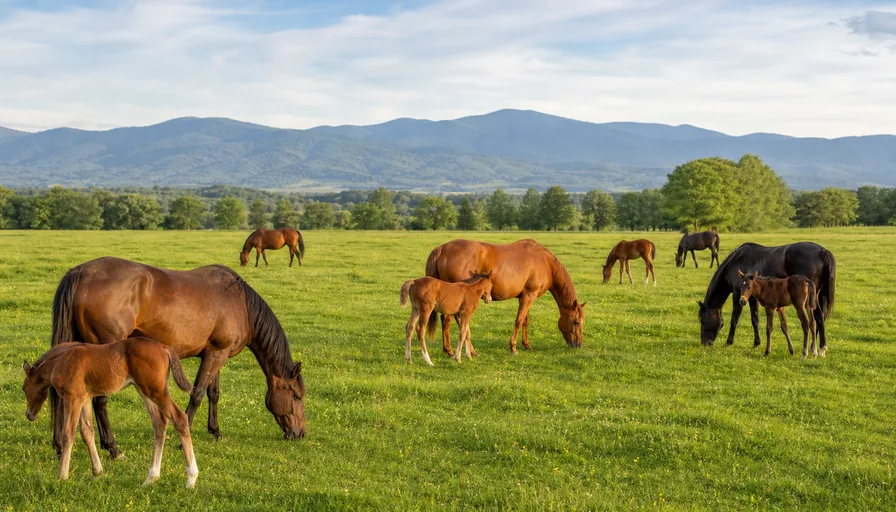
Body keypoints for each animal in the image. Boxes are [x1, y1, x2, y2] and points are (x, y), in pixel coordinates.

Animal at [23, 338, 198, 487]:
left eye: (24, 388)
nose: (29, 415)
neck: (61, 361)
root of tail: (164, 347)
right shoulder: (85, 399)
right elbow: (87, 432)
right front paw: (97, 473)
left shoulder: (73, 398)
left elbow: (68, 433)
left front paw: (62, 476)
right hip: (144, 390)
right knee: (159, 423)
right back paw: (150, 479)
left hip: (156, 391)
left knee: (179, 418)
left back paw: (191, 479)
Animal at [50, 256, 306, 461]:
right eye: (297, 396)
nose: (300, 433)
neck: (241, 303)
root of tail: (81, 272)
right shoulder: (216, 354)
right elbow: (198, 394)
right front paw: (184, 436)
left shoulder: (216, 353)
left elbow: (214, 394)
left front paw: (216, 431)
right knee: (100, 401)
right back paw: (113, 448)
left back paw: (60, 446)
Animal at [425, 239, 585, 355]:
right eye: (576, 322)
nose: (578, 345)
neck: (545, 261)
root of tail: (442, 249)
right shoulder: (530, 295)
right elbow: (519, 320)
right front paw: (513, 347)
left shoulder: (524, 296)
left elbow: (526, 320)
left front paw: (527, 345)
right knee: (454, 321)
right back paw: (462, 350)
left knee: (447, 321)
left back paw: (451, 350)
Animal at [697, 242, 835, 357]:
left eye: (703, 320)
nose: (704, 342)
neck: (735, 263)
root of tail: (822, 251)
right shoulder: (751, 298)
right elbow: (755, 320)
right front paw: (756, 343)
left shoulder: (737, 295)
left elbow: (734, 319)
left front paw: (728, 342)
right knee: (817, 318)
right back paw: (813, 347)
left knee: (818, 316)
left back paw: (821, 348)